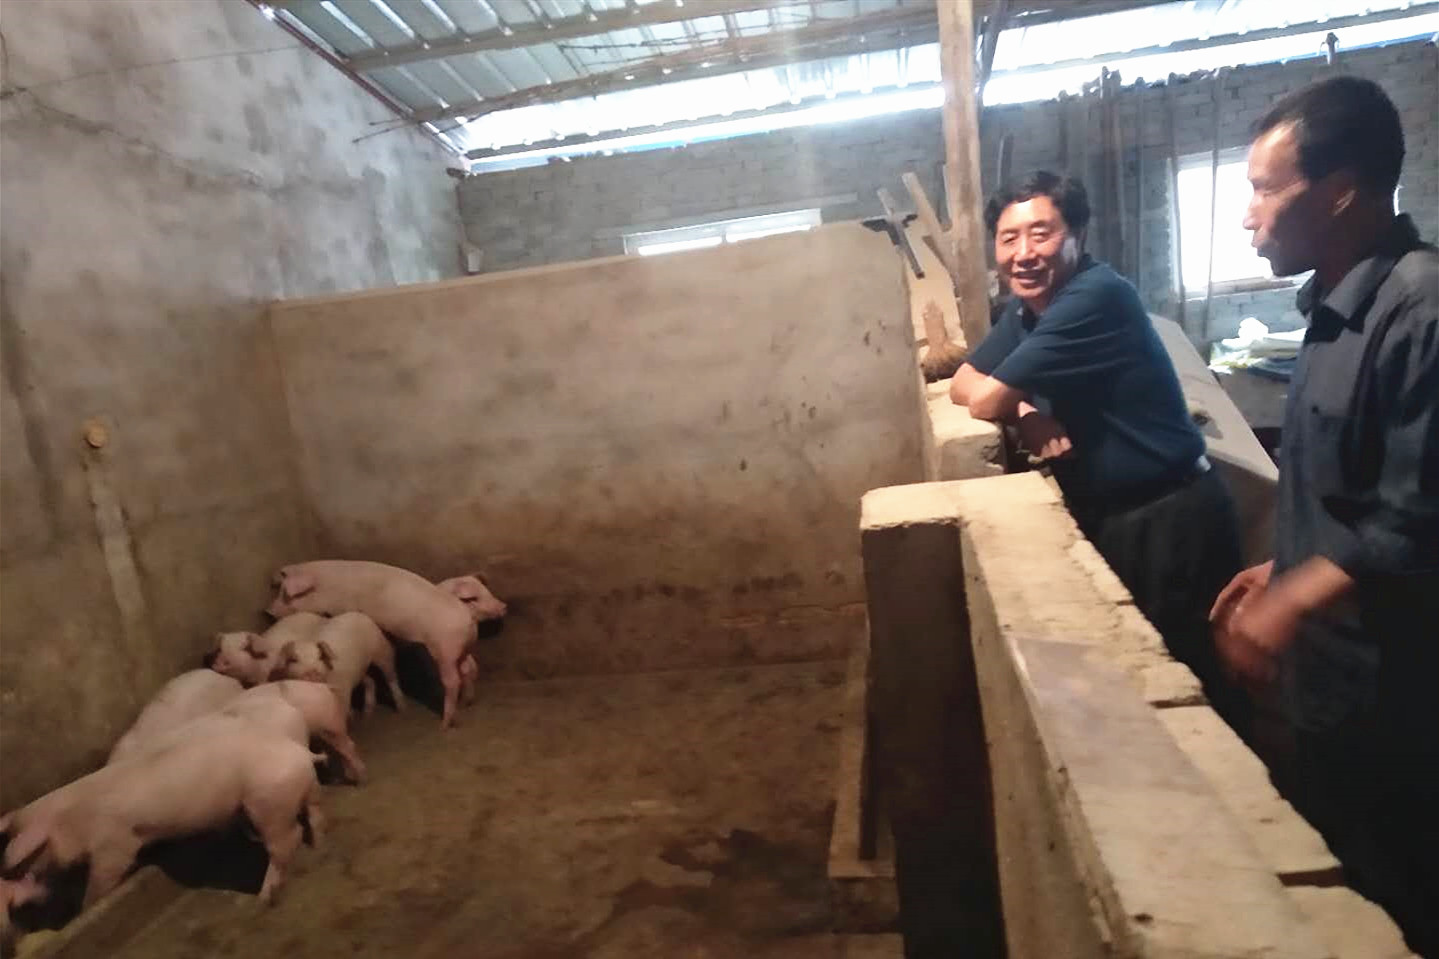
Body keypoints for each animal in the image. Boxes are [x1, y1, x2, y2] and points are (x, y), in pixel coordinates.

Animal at [1, 723, 324, 910]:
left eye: (34, 854)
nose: (8, 871)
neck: (73, 817)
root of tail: (303, 754)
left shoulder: (114, 843)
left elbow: (102, 881)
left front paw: (86, 906)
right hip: (300, 793)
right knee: (314, 814)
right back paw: (319, 843)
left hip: (269, 803)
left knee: (287, 839)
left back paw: (265, 896)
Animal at [272, 612, 404, 720]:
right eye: (293, 660)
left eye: (320, 657)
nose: (312, 673)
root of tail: (359, 614)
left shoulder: (343, 692)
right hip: (360, 671)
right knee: (371, 681)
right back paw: (367, 713)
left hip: (382, 651)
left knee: (391, 677)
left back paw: (401, 707)